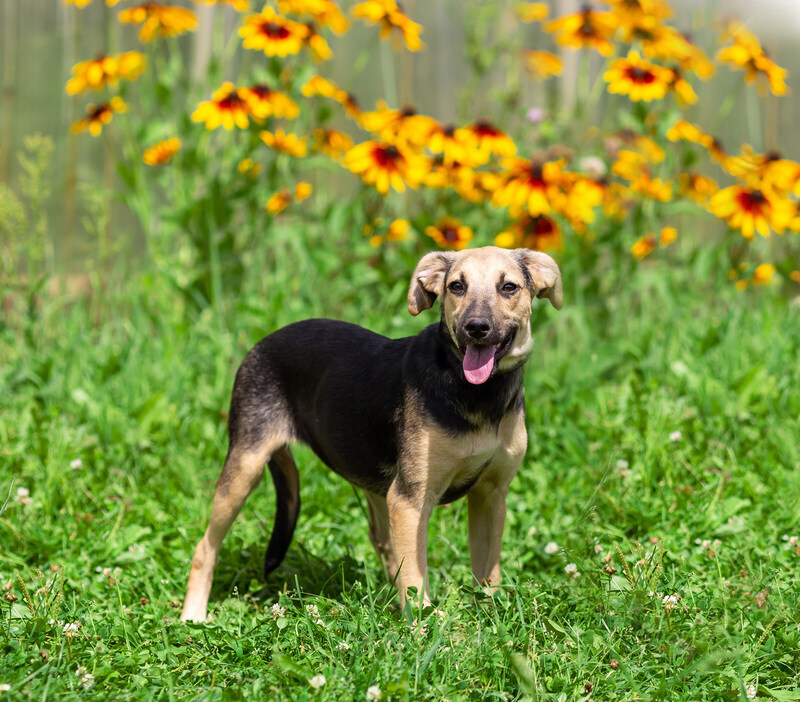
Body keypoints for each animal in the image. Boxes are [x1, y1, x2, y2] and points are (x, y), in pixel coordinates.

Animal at [180, 246, 564, 620]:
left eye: (509, 287)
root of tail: (263, 342)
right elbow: (416, 579)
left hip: (378, 485)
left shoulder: (490, 495)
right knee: (205, 547)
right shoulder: (410, 499)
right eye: (457, 286)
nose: (476, 327)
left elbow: (487, 573)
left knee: (385, 544)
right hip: (246, 465)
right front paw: (426, 632)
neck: (477, 395)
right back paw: (192, 616)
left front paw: (494, 619)